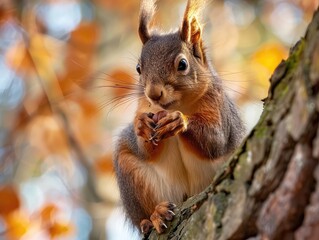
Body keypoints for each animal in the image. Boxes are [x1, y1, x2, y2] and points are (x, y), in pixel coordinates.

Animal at [112, 0, 245, 234]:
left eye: (182, 64)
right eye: (138, 68)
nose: (153, 93)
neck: (178, 104)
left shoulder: (220, 109)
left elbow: (215, 141)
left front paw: (179, 121)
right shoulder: (143, 108)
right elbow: (145, 150)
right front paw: (141, 125)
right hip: (131, 173)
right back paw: (154, 215)